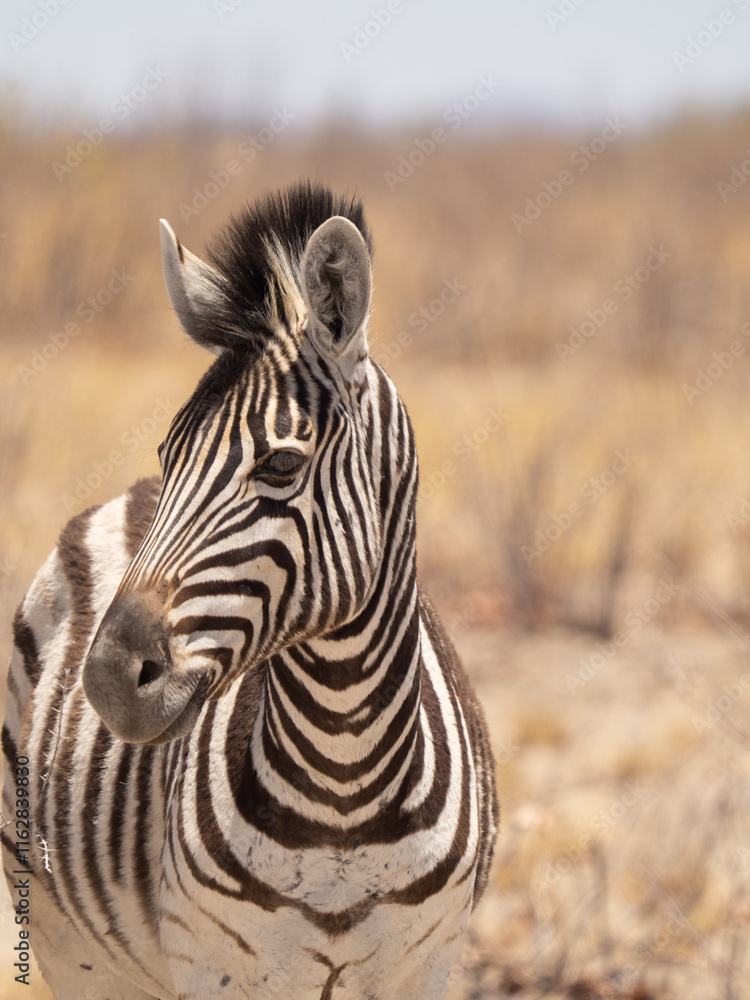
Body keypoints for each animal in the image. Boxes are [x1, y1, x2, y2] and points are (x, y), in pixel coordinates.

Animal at [2, 183, 498, 1000]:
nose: (105, 682)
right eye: (169, 453)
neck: (344, 794)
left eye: (281, 466)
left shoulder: (427, 965)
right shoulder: (221, 970)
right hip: (70, 944)